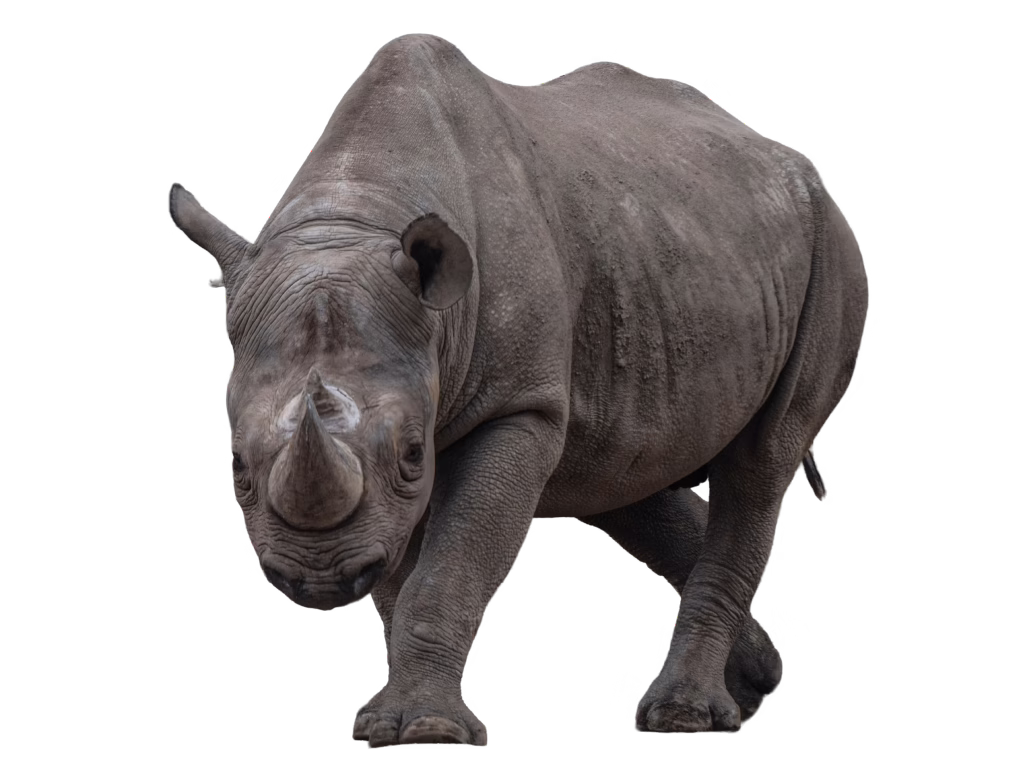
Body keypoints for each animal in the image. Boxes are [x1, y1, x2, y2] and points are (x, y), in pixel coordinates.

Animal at [168, 34, 868, 746]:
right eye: (235, 463)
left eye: (413, 453)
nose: (317, 578)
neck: (358, 215)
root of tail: (782, 156)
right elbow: (396, 573)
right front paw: (381, 723)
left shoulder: (515, 406)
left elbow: (446, 568)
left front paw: (429, 730)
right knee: (624, 476)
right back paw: (753, 685)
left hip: (832, 249)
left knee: (762, 461)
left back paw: (685, 715)